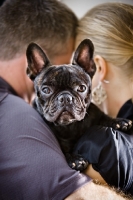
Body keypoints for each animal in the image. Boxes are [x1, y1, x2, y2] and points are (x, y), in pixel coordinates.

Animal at [26, 39, 132, 172]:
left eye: (81, 88)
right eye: (46, 90)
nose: (65, 97)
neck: (70, 126)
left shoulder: (96, 115)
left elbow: (105, 118)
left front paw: (120, 122)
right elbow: (62, 149)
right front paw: (75, 159)